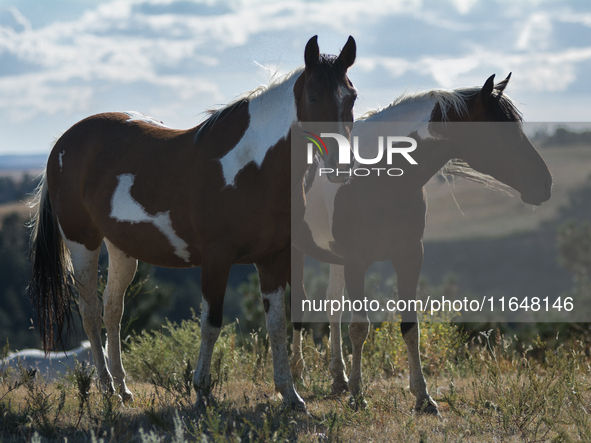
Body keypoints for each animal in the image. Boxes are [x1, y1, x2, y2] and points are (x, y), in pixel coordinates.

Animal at [28, 34, 356, 410]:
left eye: (352, 96)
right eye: (313, 96)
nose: (341, 165)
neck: (252, 168)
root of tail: (64, 141)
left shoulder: (273, 258)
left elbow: (276, 325)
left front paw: (289, 394)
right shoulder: (216, 258)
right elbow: (211, 324)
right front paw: (202, 390)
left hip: (122, 248)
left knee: (112, 311)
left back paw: (123, 389)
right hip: (82, 242)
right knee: (91, 312)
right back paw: (107, 387)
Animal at [292, 73, 556, 412]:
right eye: (499, 129)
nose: (545, 183)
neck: (378, 177)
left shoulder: (409, 257)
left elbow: (410, 326)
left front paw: (423, 396)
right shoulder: (355, 261)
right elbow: (359, 327)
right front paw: (358, 394)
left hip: (333, 257)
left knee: (331, 305)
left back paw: (337, 378)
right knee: (298, 303)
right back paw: (297, 374)